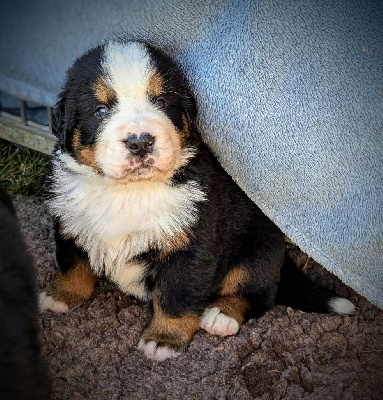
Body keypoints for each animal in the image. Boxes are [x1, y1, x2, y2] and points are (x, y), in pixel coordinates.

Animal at [40, 39, 356, 362]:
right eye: (101, 110)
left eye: (162, 102)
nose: (140, 142)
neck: (128, 191)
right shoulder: (69, 219)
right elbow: (72, 263)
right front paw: (60, 296)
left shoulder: (192, 242)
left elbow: (176, 294)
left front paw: (164, 339)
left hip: (258, 247)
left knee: (257, 293)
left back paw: (221, 315)